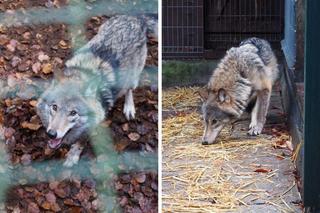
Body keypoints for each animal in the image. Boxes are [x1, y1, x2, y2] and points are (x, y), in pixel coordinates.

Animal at [36, 14, 158, 166]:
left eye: (73, 113)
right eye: (54, 107)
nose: (51, 134)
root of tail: (135, 17)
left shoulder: (92, 125)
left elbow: (80, 143)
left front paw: (72, 157)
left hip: (132, 76)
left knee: (129, 89)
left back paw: (129, 108)